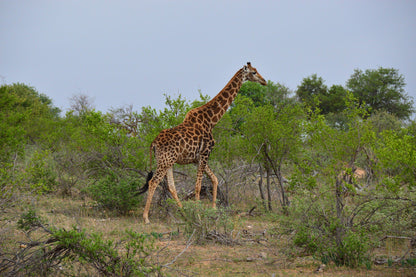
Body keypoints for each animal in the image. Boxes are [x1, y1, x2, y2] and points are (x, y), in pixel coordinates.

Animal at [136, 62, 266, 222]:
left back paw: (184, 214)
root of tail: (153, 143)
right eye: (253, 72)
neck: (212, 121)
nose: (264, 81)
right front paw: (199, 214)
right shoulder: (205, 153)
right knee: (153, 182)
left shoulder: (197, 158)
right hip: (164, 161)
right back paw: (146, 217)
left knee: (171, 187)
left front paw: (213, 210)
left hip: (169, 162)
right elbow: (198, 186)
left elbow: (214, 179)